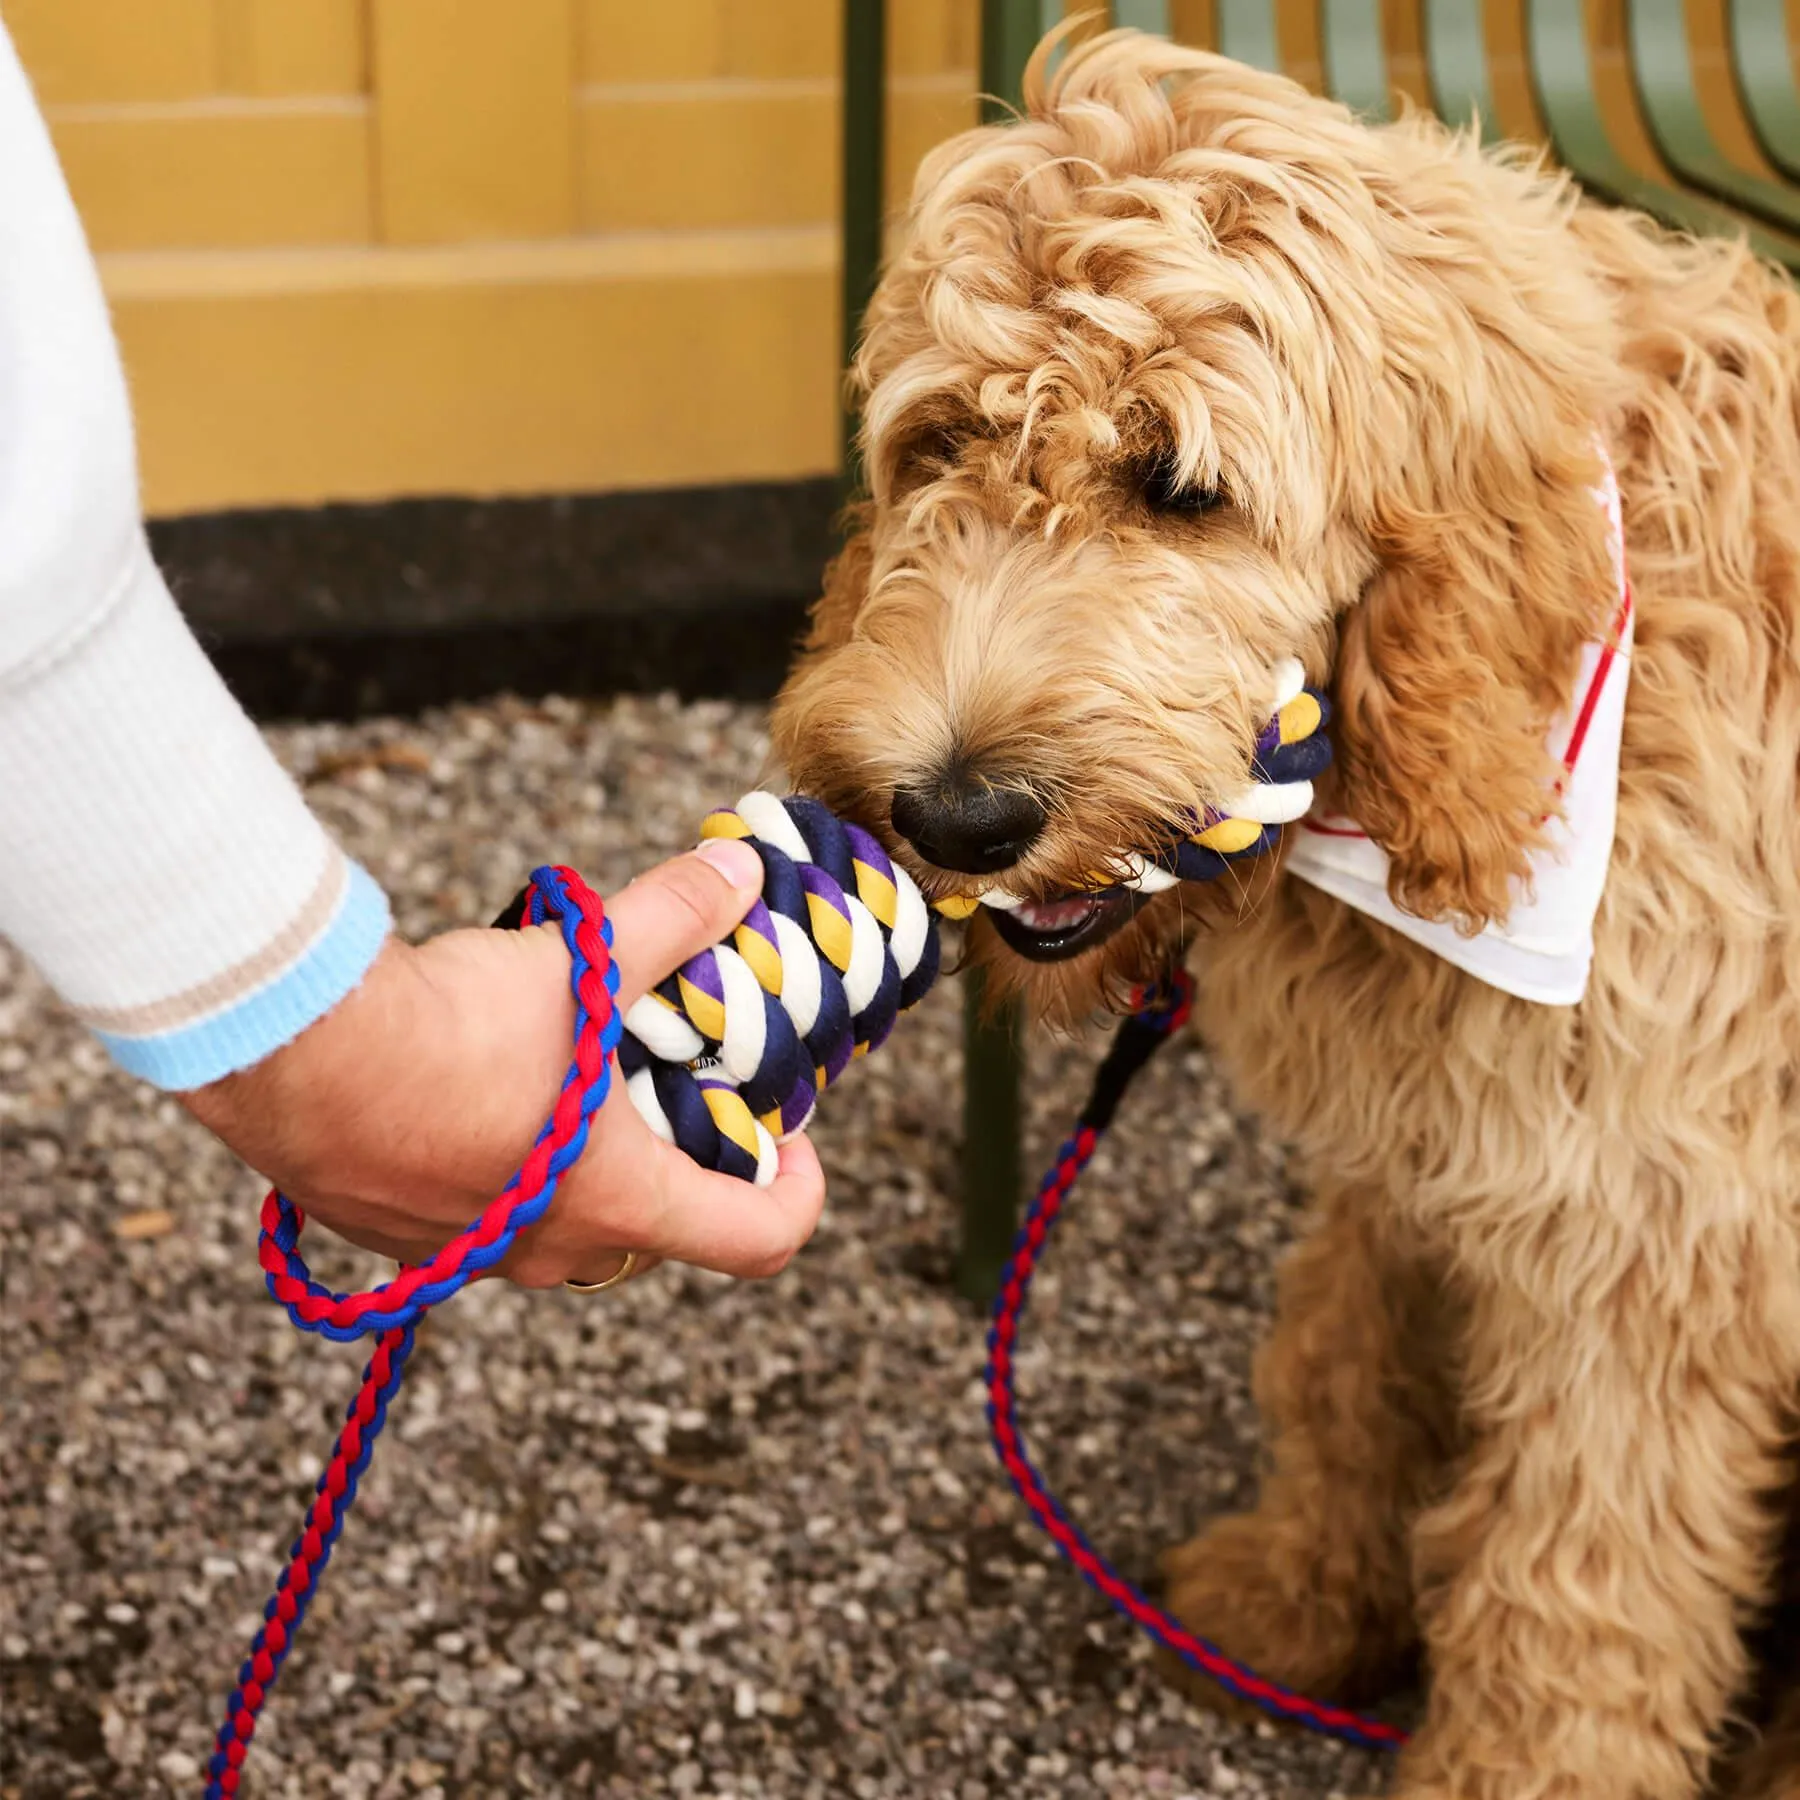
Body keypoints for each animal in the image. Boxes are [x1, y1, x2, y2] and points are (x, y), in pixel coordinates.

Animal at [777, 28, 1800, 1800]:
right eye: (939, 445)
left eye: (1181, 486)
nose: (958, 813)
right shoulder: (1440, 1135)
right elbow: (1346, 1350)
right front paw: (1309, 1595)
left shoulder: (1652, 1228)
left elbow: (1579, 1576)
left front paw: (1515, 1768)